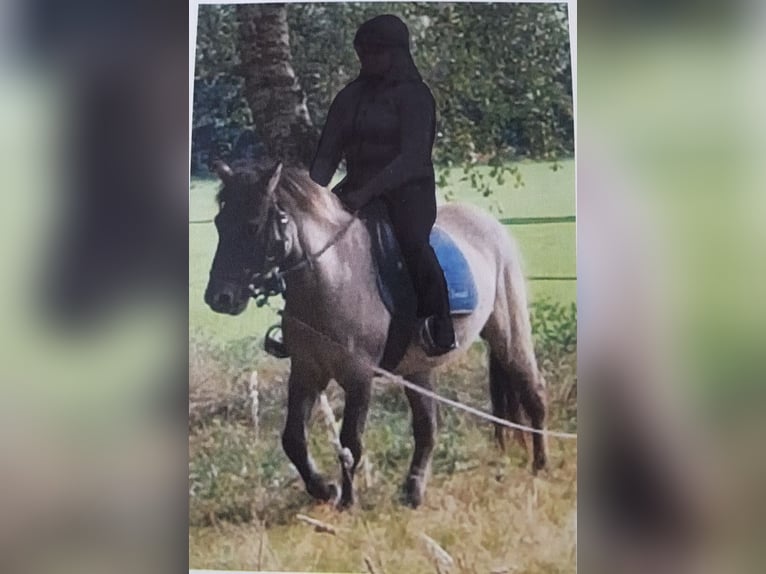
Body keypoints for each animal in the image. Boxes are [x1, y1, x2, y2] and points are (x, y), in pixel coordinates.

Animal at [204, 159, 548, 508]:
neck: (332, 279)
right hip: (418, 368)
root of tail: (490, 224)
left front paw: (347, 500)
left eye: (252, 226)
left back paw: (540, 466)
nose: (218, 298)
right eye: (219, 223)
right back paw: (412, 492)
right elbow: (293, 439)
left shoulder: (358, 377)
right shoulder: (305, 372)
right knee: (427, 427)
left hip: (509, 335)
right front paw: (325, 489)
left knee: (533, 390)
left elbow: (350, 442)